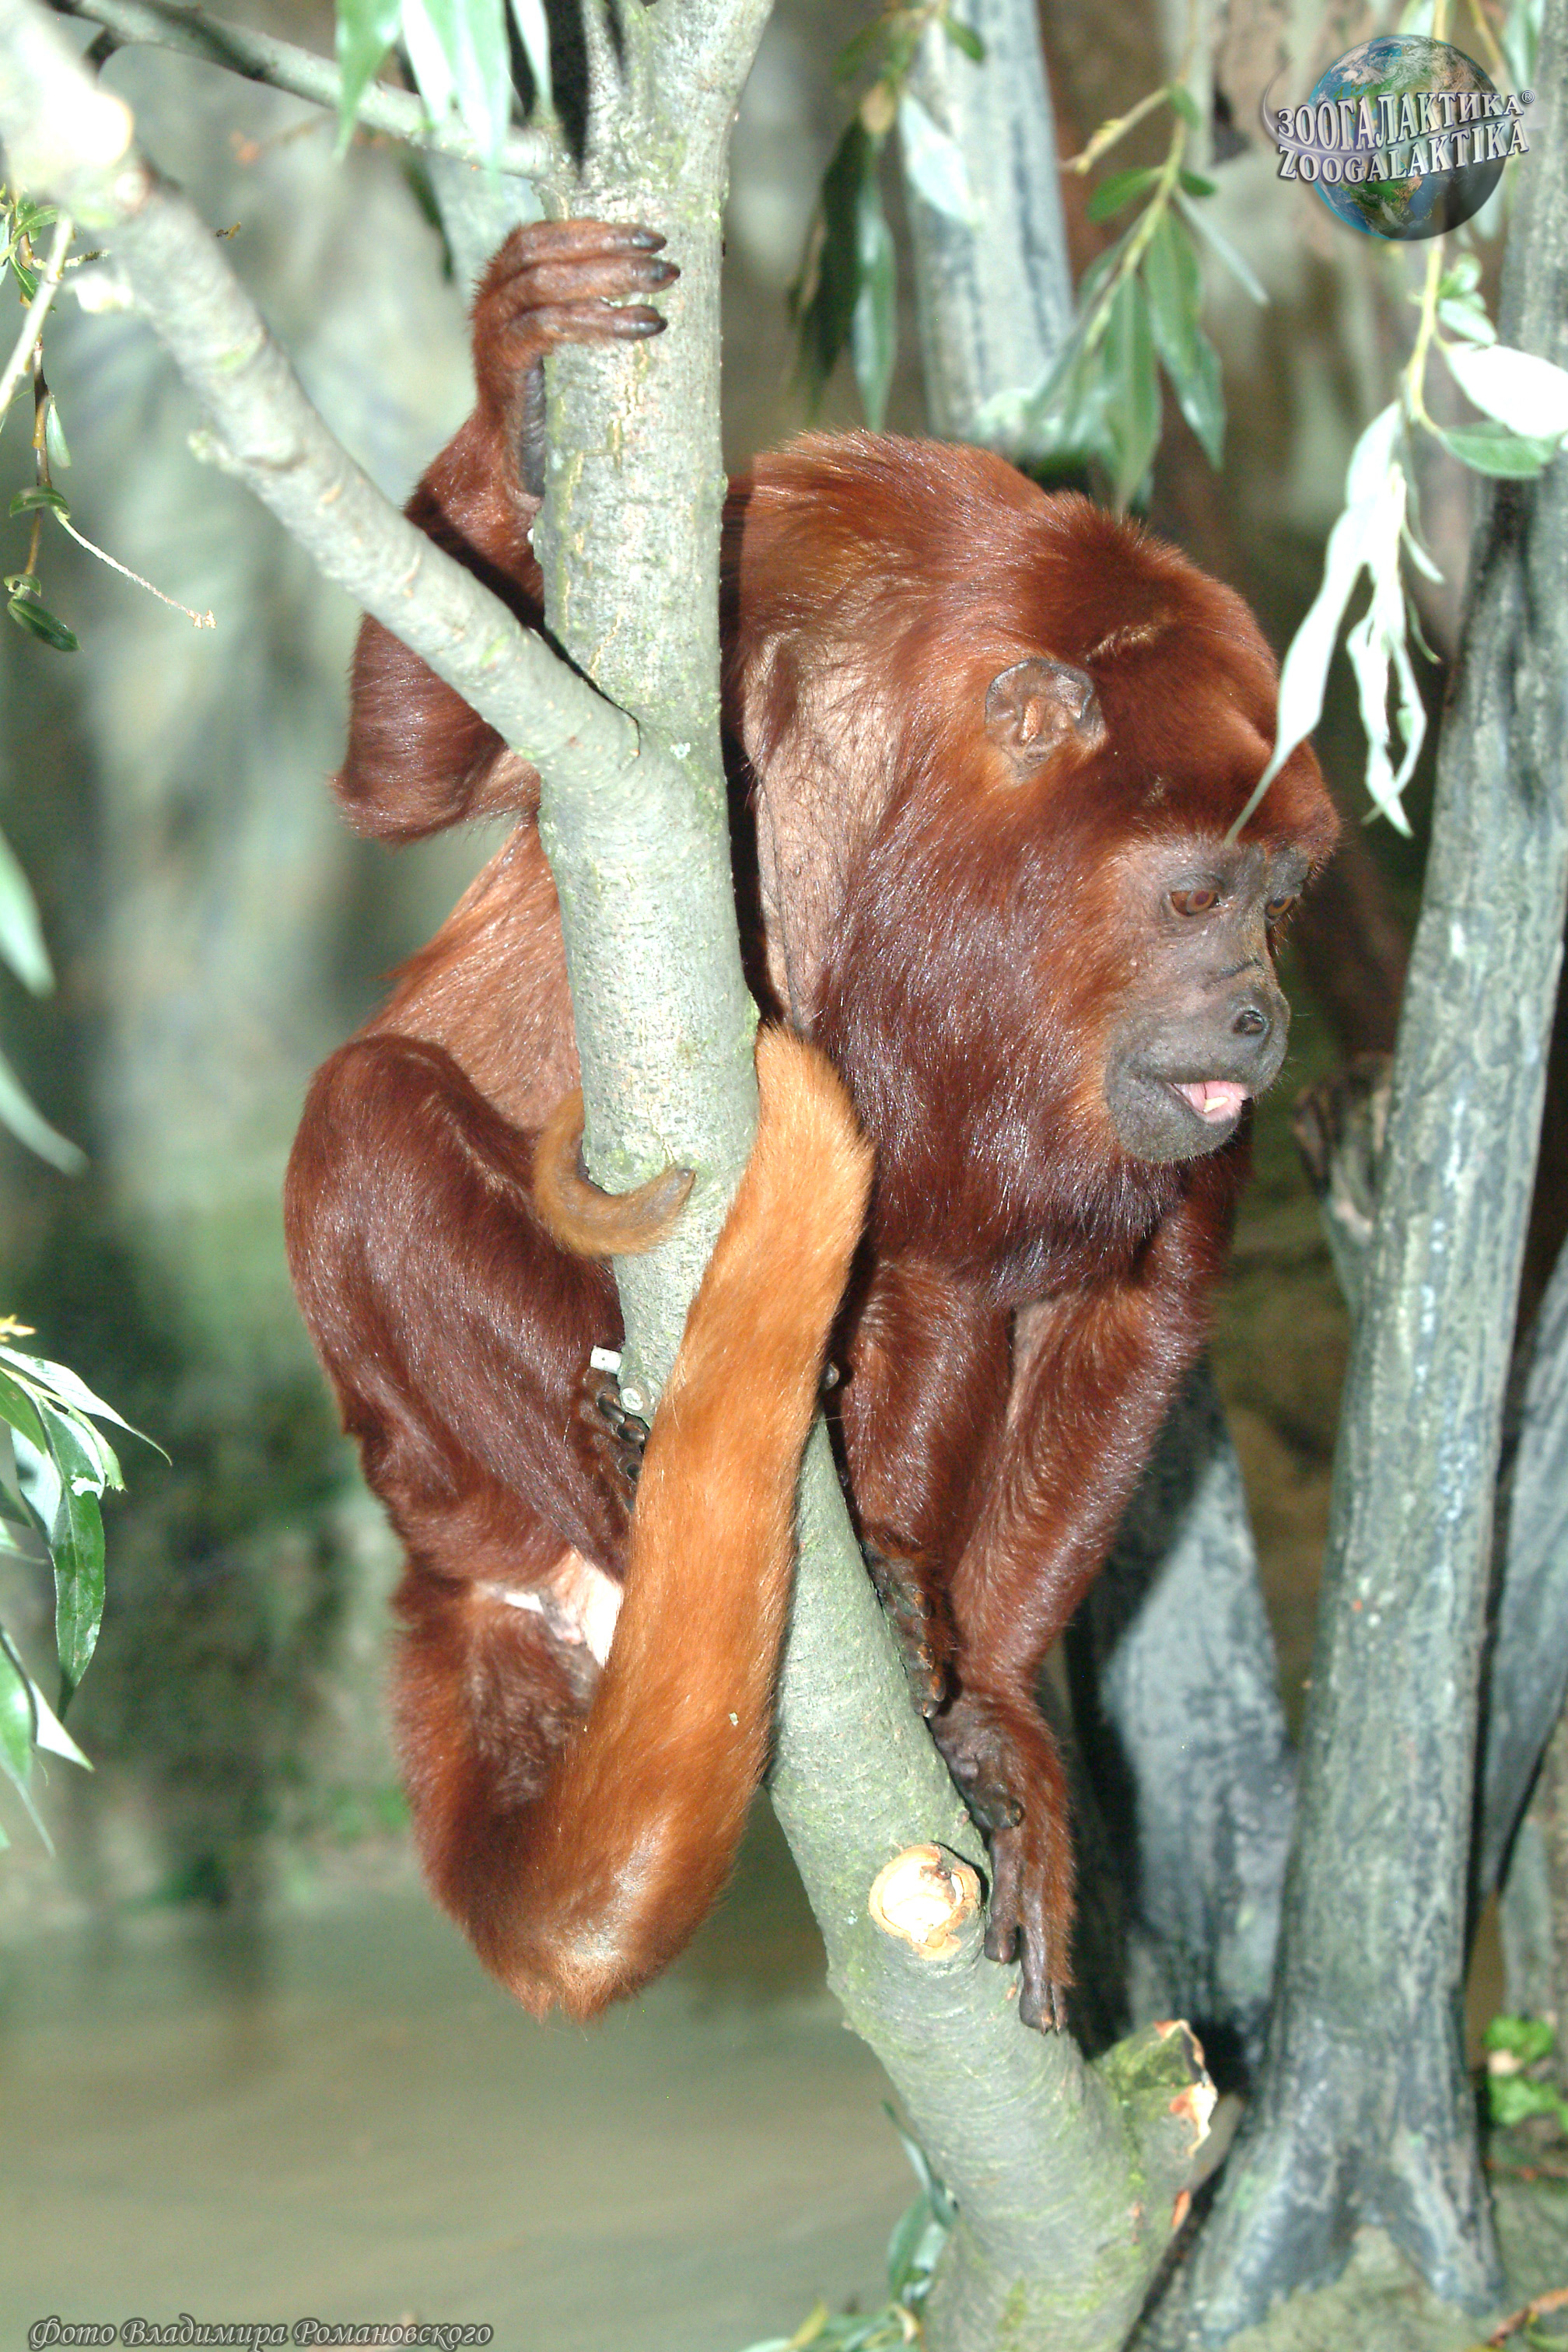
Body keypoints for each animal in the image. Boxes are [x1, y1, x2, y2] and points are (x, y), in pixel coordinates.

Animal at [285, 219, 1339, 2032]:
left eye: (1281, 903)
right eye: (1199, 894)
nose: (1260, 1013)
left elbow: (1146, 1277)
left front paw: (999, 1715)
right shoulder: (776, 548)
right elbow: (417, 771)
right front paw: (520, 371)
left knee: (968, 1265)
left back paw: (922, 1642)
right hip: (435, 1467)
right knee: (367, 1120)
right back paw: (632, 1471)